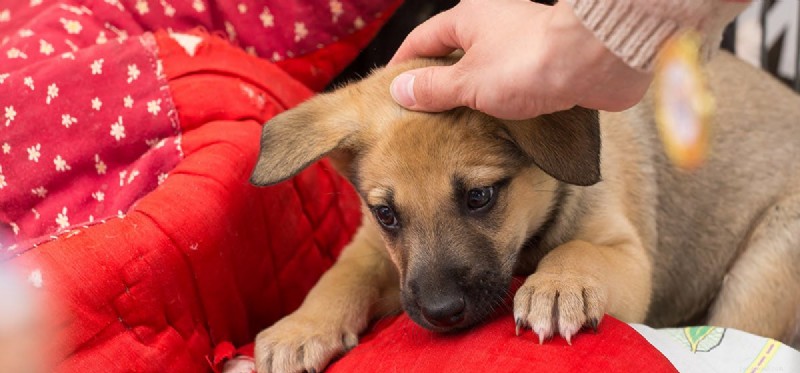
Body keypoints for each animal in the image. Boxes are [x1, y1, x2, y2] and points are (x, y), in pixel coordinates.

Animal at [250, 53, 800, 372]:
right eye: (386, 214)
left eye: (479, 197)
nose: (441, 314)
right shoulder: (373, 247)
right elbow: (343, 273)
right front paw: (301, 328)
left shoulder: (628, 257)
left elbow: (580, 249)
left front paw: (559, 287)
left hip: (764, 263)